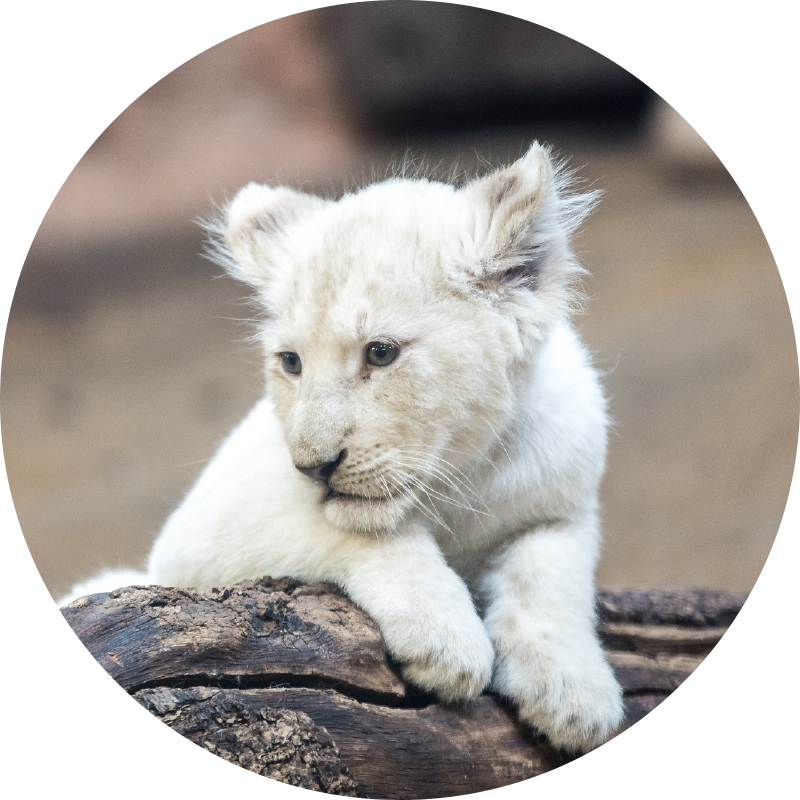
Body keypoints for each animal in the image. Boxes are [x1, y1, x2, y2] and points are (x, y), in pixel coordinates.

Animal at [62, 143, 623, 752]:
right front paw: (445, 639)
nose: (314, 466)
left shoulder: (565, 505)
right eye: (291, 362)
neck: (459, 478)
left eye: (380, 353)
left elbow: (551, 576)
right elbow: (352, 532)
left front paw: (573, 695)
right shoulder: (198, 539)